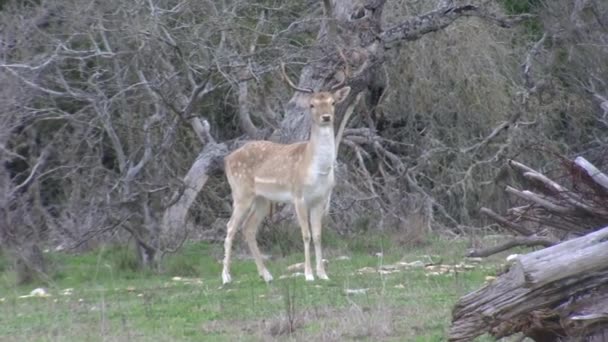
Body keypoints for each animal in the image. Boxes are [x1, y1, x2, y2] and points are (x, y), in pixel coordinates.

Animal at [221, 62, 352, 286]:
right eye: (312, 105)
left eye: (333, 102)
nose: (326, 117)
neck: (316, 170)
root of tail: (227, 159)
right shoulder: (298, 196)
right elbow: (306, 234)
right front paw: (308, 274)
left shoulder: (320, 199)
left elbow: (318, 235)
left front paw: (323, 274)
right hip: (240, 192)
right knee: (230, 227)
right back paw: (226, 277)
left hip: (262, 199)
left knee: (248, 228)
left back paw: (266, 275)